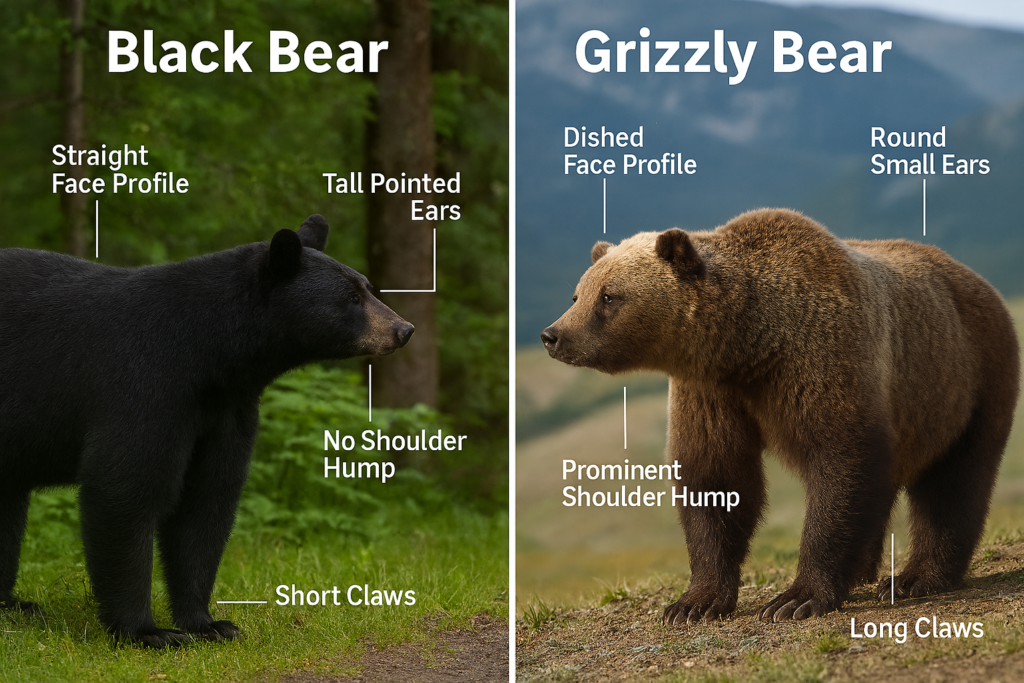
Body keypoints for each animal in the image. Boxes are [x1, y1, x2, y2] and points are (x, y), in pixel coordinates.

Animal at [0, 214, 414, 647]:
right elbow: (125, 488)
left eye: (367, 287)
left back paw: (13, 604)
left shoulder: (227, 410)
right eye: (351, 297)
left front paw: (208, 622)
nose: (404, 329)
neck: (209, 355)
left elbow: (208, 500)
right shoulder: (143, 386)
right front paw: (148, 631)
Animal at [541, 208, 1019, 623]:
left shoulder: (821, 358)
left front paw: (795, 599)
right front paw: (693, 603)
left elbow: (841, 462)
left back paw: (917, 577)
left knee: (953, 483)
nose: (553, 335)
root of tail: (977, 279)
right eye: (578, 293)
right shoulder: (710, 390)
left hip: (963, 380)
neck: (750, 345)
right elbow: (715, 478)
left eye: (609, 296)